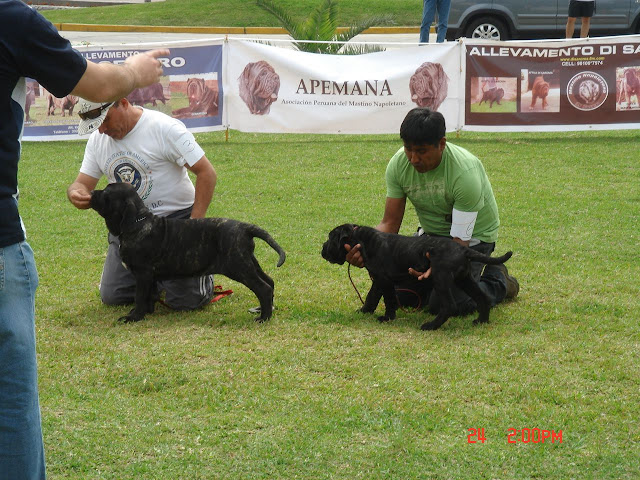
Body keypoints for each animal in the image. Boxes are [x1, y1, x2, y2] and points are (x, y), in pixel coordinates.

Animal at [90, 182, 284, 324]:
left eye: (106, 193)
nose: (91, 192)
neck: (137, 222)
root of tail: (245, 227)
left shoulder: (142, 274)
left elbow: (139, 296)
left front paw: (133, 317)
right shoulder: (150, 276)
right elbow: (149, 296)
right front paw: (145, 313)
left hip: (239, 267)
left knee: (263, 288)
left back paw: (263, 318)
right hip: (249, 262)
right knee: (269, 281)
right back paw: (266, 310)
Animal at [322, 224, 512, 330]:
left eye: (331, 238)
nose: (322, 248)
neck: (363, 240)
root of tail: (463, 250)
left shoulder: (384, 280)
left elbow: (388, 300)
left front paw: (387, 318)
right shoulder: (378, 280)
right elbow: (372, 297)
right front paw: (364, 311)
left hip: (441, 278)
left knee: (449, 306)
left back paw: (431, 326)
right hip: (464, 279)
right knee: (482, 297)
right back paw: (481, 321)